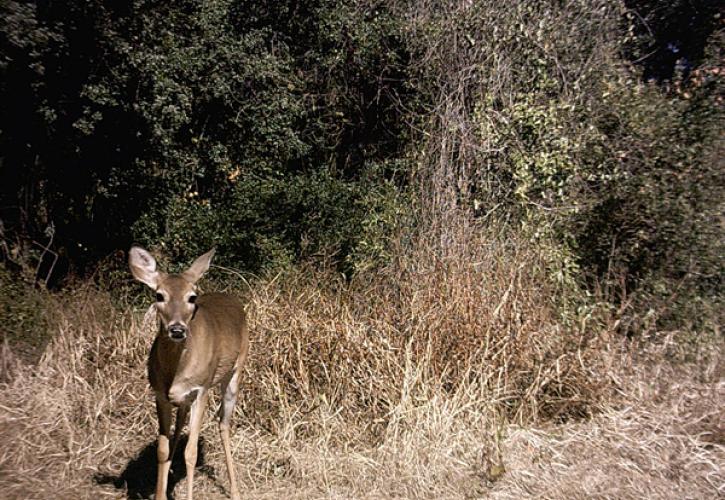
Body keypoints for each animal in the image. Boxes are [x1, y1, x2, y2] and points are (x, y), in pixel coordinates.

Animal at [126, 247, 246, 500]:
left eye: (192, 297)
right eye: (159, 295)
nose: (177, 329)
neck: (176, 371)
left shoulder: (202, 389)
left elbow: (190, 453)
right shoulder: (160, 394)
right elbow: (162, 449)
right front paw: (160, 494)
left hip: (235, 371)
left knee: (223, 423)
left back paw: (235, 491)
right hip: (183, 400)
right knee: (180, 428)